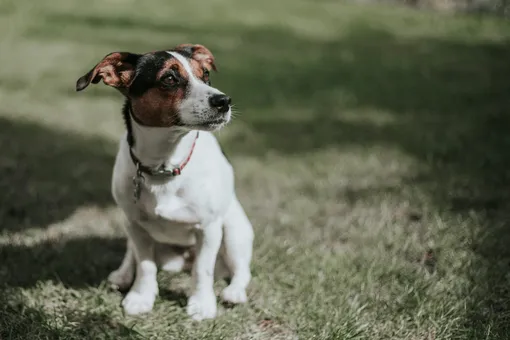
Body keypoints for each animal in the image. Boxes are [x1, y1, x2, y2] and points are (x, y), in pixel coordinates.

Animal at [75, 43, 255, 320]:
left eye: (205, 74)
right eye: (169, 78)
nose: (224, 101)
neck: (165, 165)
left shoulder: (209, 228)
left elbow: (203, 270)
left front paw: (201, 304)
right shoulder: (137, 227)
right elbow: (145, 265)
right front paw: (141, 297)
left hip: (235, 231)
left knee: (241, 271)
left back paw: (234, 292)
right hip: (130, 226)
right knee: (132, 255)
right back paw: (123, 274)